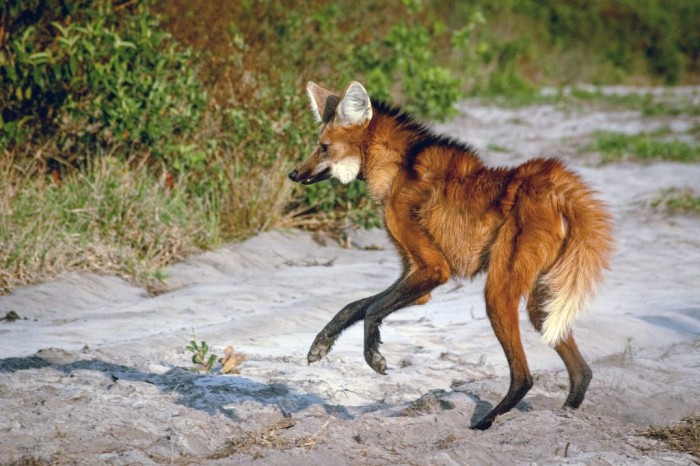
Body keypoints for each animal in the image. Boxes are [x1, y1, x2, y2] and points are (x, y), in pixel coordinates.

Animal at [288, 81, 614, 429]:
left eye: (323, 147)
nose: (294, 174)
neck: (396, 170)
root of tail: (556, 184)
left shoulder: (433, 269)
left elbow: (372, 308)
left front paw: (373, 357)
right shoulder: (414, 275)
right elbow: (355, 306)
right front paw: (321, 344)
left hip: (498, 293)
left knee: (523, 376)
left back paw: (484, 424)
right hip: (543, 303)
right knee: (581, 371)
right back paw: (565, 417)